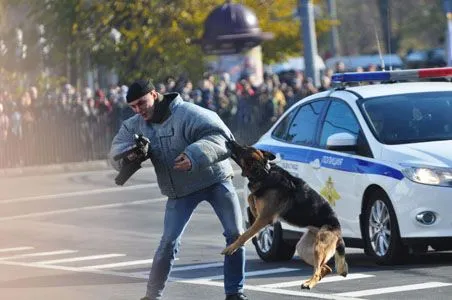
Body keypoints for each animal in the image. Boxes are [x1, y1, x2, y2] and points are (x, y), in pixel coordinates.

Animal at [222, 141, 350, 290]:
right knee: (325, 268)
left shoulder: (264, 218)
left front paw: (231, 248)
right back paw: (310, 281)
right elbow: (250, 197)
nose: (229, 141)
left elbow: (244, 235)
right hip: (304, 248)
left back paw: (309, 283)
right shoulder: (261, 215)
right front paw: (252, 201)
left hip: (319, 247)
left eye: (242, 149)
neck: (264, 173)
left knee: (318, 270)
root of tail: (338, 231)